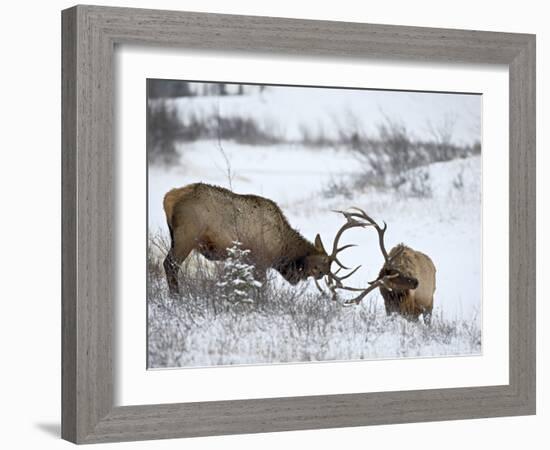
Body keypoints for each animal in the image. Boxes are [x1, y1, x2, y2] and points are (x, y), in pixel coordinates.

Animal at [162, 183, 364, 296]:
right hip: (186, 236)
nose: (320, 275)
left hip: (175, 236)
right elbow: (262, 288)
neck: (282, 247)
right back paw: (176, 297)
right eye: (322, 266)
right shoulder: (260, 261)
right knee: (170, 264)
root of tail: (169, 198)